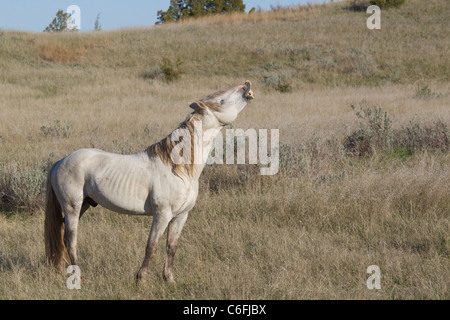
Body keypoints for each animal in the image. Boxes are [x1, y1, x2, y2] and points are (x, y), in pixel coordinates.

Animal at [44, 80, 255, 282]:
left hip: (84, 205)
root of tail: (60, 162)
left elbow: (171, 247)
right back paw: (80, 276)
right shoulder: (162, 214)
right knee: (71, 240)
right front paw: (141, 279)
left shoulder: (180, 216)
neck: (180, 168)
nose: (247, 86)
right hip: (72, 207)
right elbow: (152, 246)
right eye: (221, 101)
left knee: (62, 236)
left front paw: (169, 279)